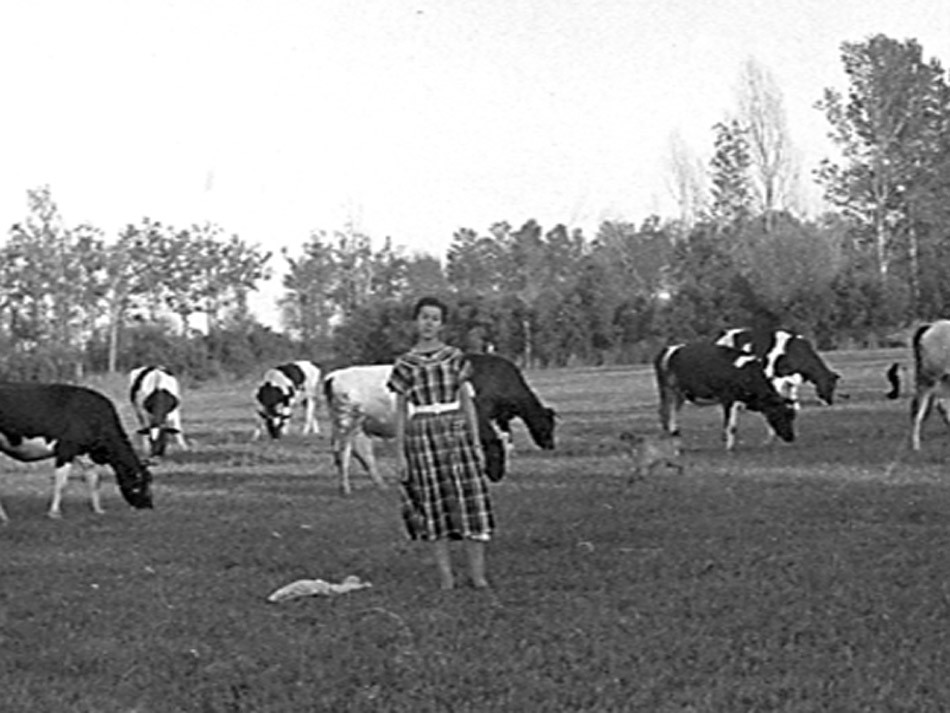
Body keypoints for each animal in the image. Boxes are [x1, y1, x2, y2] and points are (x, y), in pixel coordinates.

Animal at [0, 382, 153, 520]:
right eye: (141, 483)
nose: (148, 506)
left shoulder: (85, 454)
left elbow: (94, 481)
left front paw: (98, 510)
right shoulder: (66, 450)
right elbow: (61, 483)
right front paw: (54, 513)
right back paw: (4, 517)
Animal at [656, 340, 796, 450]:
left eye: (791, 415)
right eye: (777, 414)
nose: (790, 437)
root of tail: (670, 348)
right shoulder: (728, 399)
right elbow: (731, 426)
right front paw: (729, 447)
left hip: (680, 394)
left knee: (672, 414)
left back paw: (676, 438)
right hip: (668, 390)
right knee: (665, 413)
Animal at [712, 328, 840, 406]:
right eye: (831, 386)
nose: (829, 403)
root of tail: (725, 333)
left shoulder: (791, 375)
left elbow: (793, 390)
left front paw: (796, 406)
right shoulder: (775, 374)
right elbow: (777, 390)